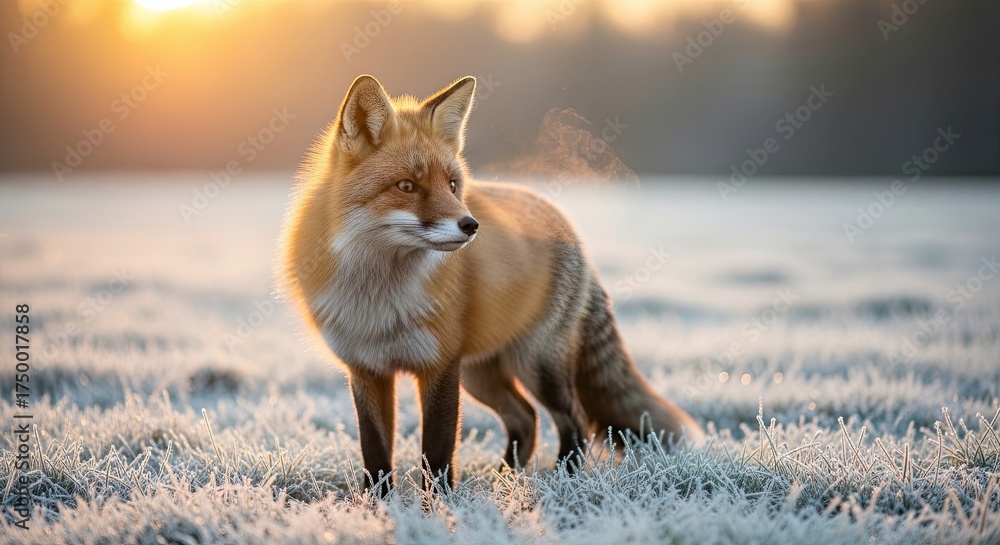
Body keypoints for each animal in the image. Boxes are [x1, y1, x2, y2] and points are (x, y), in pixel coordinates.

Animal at [280, 74, 703, 495]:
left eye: (452, 185)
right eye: (407, 186)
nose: (471, 225)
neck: (379, 297)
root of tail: (565, 222)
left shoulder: (440, 367)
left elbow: (437, 456)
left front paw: (439, 506)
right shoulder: (367, 371)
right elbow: (376, 457)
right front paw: (377, 505)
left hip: (536, 367)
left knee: (574, 420)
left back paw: (561, 482)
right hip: (481, 375)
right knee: (526, 418)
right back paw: (504, 484)